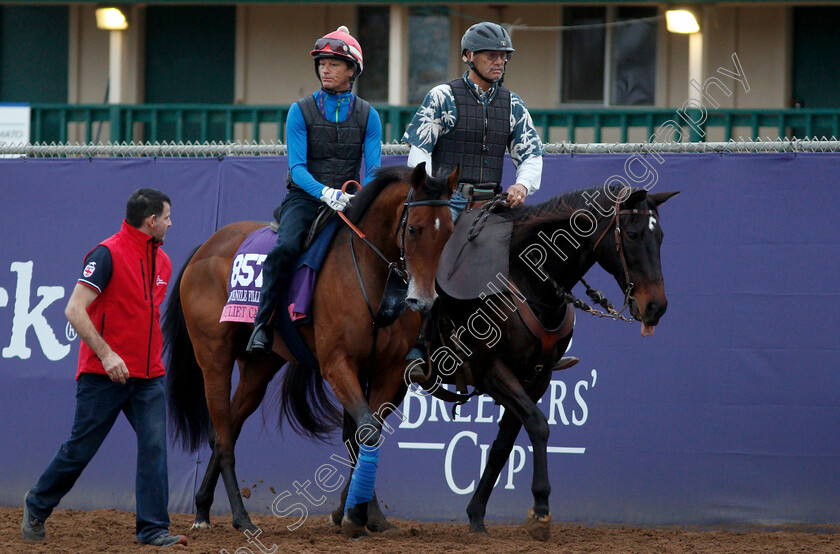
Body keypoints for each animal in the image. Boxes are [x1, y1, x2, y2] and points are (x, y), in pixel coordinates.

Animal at [162, 163, 452, 532]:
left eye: (449, 232)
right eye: (413, 229)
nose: (424, 300)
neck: (368, 273)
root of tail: (205, 248)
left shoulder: (387, 371)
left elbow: (363, 432)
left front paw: (365, 513)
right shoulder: (337, 364)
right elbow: (366, 430)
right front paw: (354, 513)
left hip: (259, 366)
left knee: (225, 427)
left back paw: (201, 508)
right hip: (214, 360)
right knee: (224, 436)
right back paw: (241, 518)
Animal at [410, 185, 680, 540]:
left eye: (660, 236)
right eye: (633, 234)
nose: (656, 307)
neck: (527, 280)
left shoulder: (537, 378)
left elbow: (504, 444)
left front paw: (477, 516)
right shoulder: (492, 372)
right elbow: (538, 424)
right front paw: (540, 509)